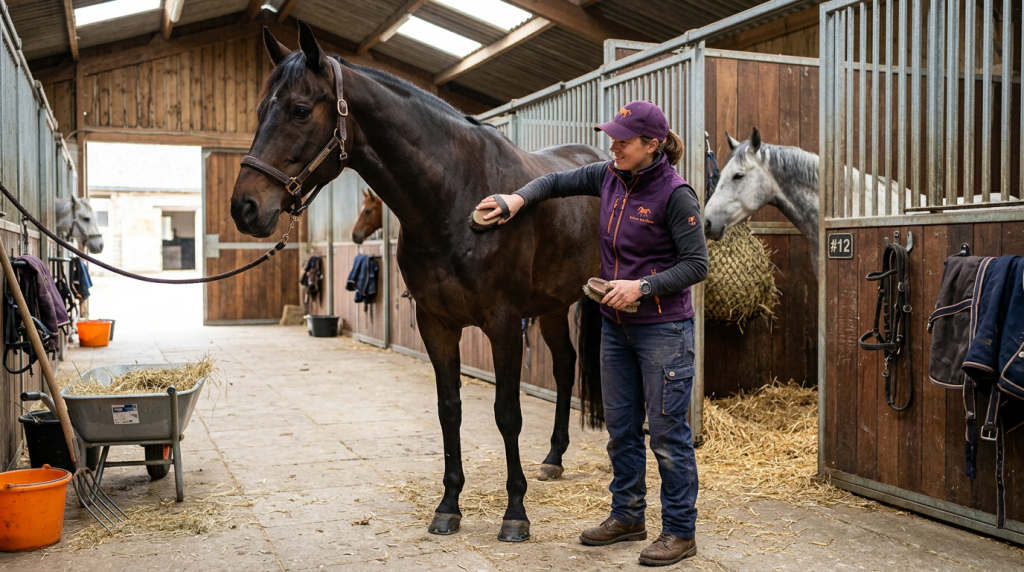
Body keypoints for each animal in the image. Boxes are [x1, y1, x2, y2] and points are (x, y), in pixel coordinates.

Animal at [231, 21, 606, 542]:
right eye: (260, 110)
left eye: (300, 110)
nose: (244, 207)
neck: (456, 198)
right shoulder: (435, 323)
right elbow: (450, 409)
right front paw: (448, 506)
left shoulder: (504, 323)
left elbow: (506, 412)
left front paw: (515, 513)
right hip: (551, 305)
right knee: (567, 365)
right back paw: (553, 457)